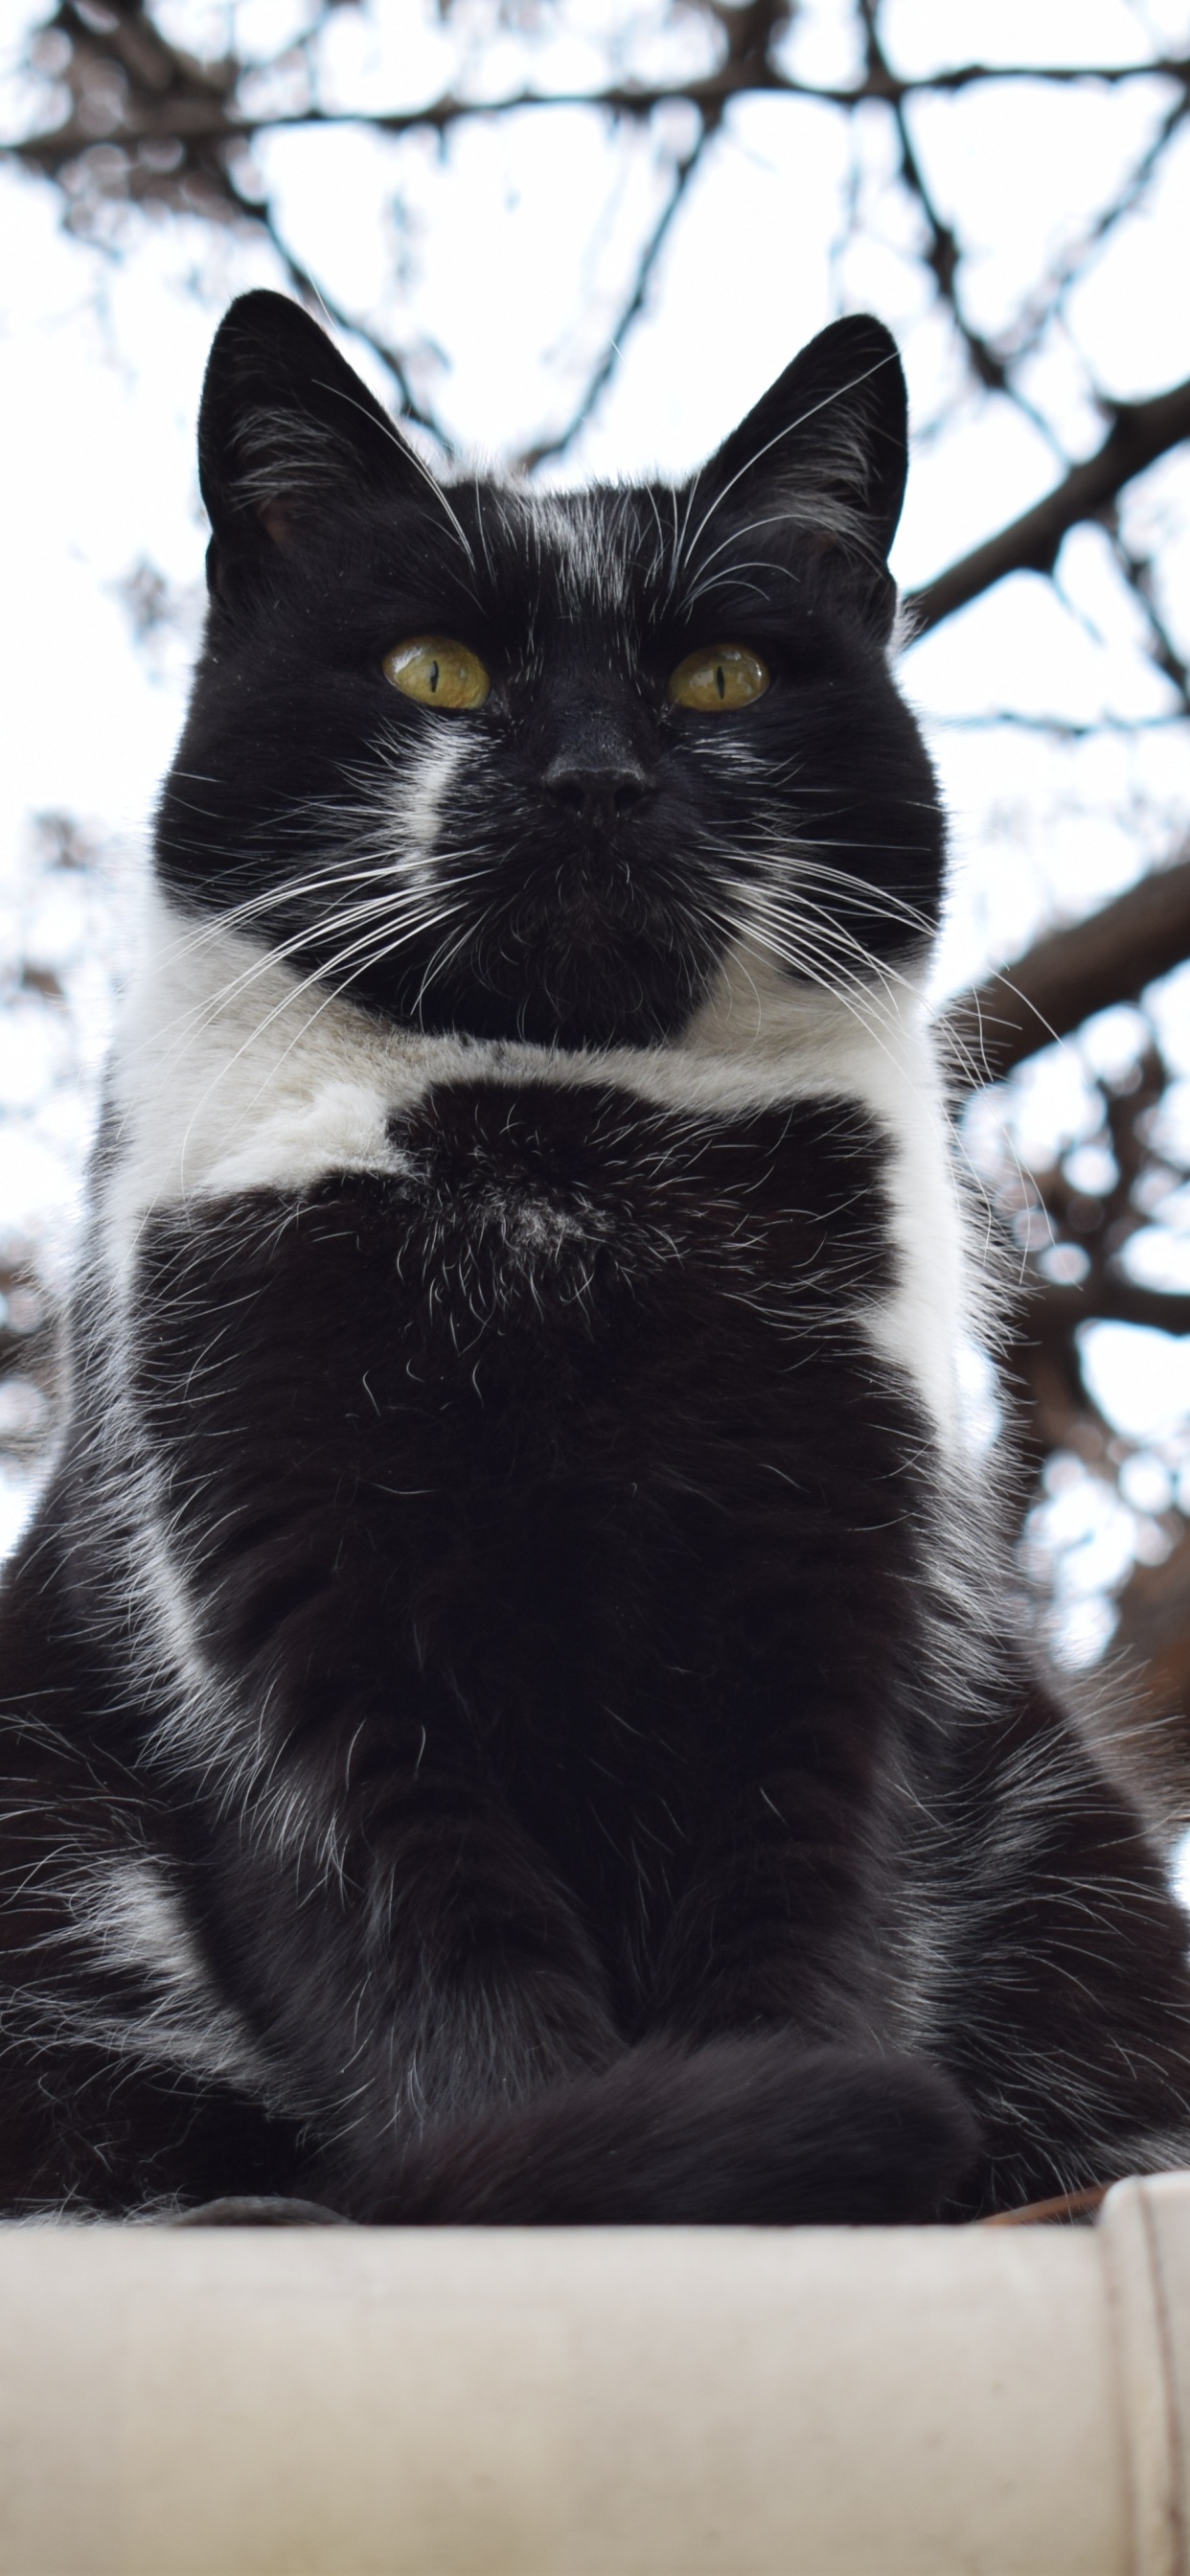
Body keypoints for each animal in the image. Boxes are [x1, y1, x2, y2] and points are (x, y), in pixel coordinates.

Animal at [2, 287, 1190, 2236]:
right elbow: (433, 1964)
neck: (557, 1152)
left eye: (718, 679)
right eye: (433, 673)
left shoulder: (840, 1585)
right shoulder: (275, 1587)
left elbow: (796, 1910)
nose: (592, 778)